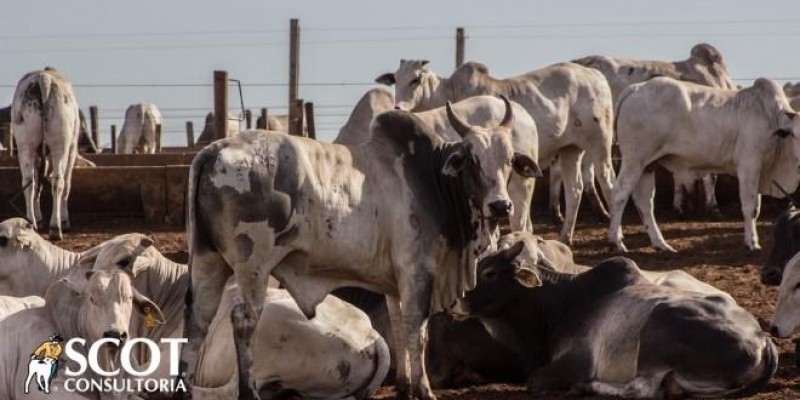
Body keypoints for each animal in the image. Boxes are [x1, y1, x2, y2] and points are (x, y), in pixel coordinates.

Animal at [11, 68, 82, 241]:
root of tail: (43, 77)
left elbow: (38, 183)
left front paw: (39, 218)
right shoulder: (72, 150)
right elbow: (67, 184)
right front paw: (65, 220)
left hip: (25, 144)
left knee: (29, 182)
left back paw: (32, 222)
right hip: (60, 145)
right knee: (59, 182)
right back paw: (56, 227)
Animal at [178, 101, 536, 400]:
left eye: (508, 161)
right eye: (473, 160)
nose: (501, 206)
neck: (433, 180)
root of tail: (213, 150)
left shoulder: (395, 280)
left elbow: (398, 326)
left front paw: (405, 386)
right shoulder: (417, 270)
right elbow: (417, 330)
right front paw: (423, 390)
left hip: (209, 260)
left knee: (198, 320)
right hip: (253, 265)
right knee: (243, 320)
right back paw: (249, 391)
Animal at [378, 57, 616, 242]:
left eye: (415, 79)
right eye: (395, 80)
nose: (398, 106)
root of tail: (596, 74)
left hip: (598, 145)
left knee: (608, 184)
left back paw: (615, 240)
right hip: (570, 149)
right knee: (574, 190)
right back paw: (565, 238)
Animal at [454, 245, 780, 398]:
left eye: (490, 273)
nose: (457, 301)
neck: (560, 303)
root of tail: (762, 339)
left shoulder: (575, 362)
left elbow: (534, 381)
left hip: (655, 333)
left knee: (644, 390)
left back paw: (588, 387)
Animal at [608, 77, 800, 252]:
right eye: (795, 134)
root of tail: (636, 88)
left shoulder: (761, 171)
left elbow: (757, 209)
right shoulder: (749, 165)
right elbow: (750, 207)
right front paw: (752, 243)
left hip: (648, 165)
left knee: (645, 202)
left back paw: (660, 244)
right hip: (634, 161)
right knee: (619, 195)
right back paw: (616, 242)